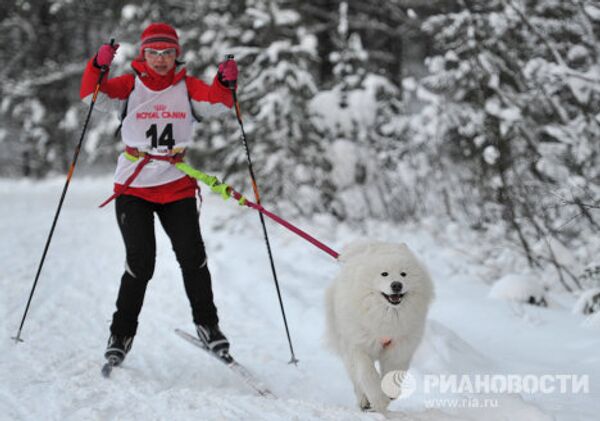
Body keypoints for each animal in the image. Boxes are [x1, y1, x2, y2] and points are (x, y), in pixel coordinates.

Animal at [326, 241, 434, 412]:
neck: (386, 316)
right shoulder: (359, 346)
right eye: (384, 274)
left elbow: (393, 374)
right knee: (356, 380)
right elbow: (368, 374)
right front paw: (379, 400)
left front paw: (389, 393)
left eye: (403, 274)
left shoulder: (399, 348)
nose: (396, 285)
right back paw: (364, 401)